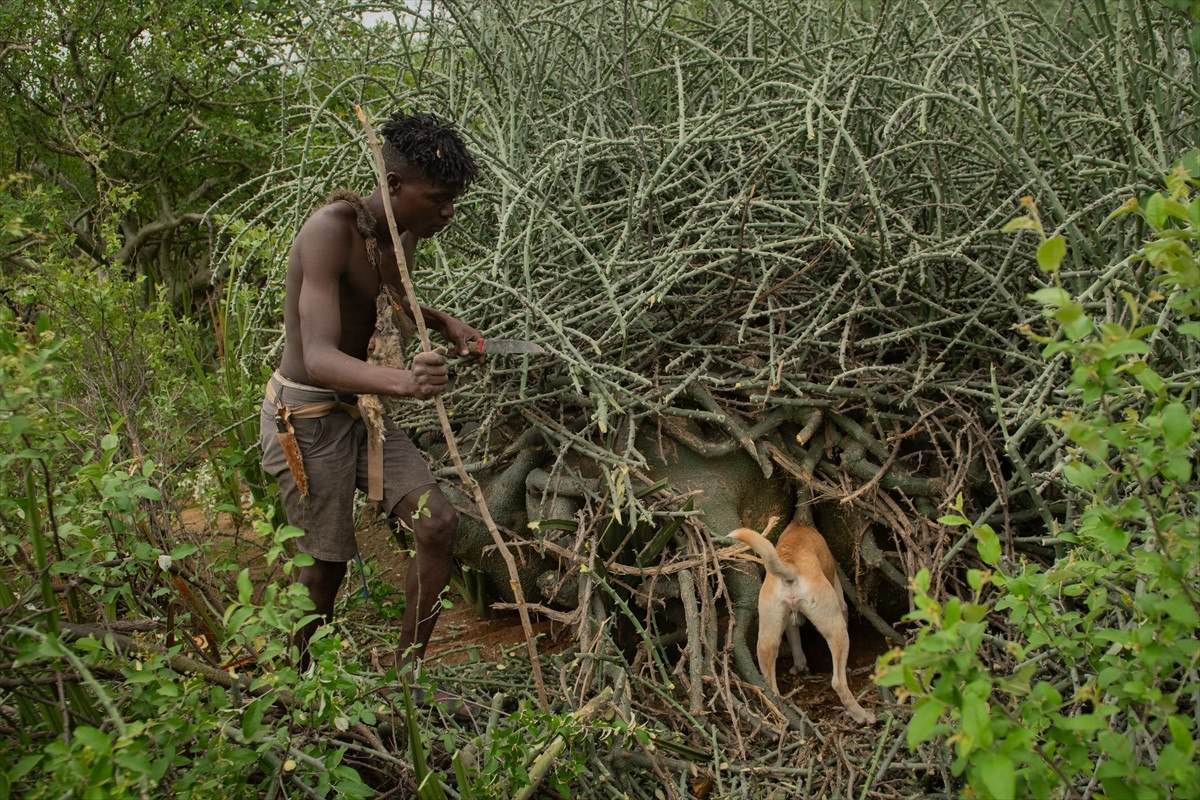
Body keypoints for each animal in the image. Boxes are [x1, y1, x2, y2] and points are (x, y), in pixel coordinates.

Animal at [729, 525, 873, 724]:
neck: (800, 526)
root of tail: (789, 567)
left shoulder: (790, 622)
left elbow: (795, 641)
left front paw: (799, 666)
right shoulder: (840, 602)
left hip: (767, 636)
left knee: (769, 680)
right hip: (837, 630)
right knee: (838, 682)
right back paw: (862, 715)